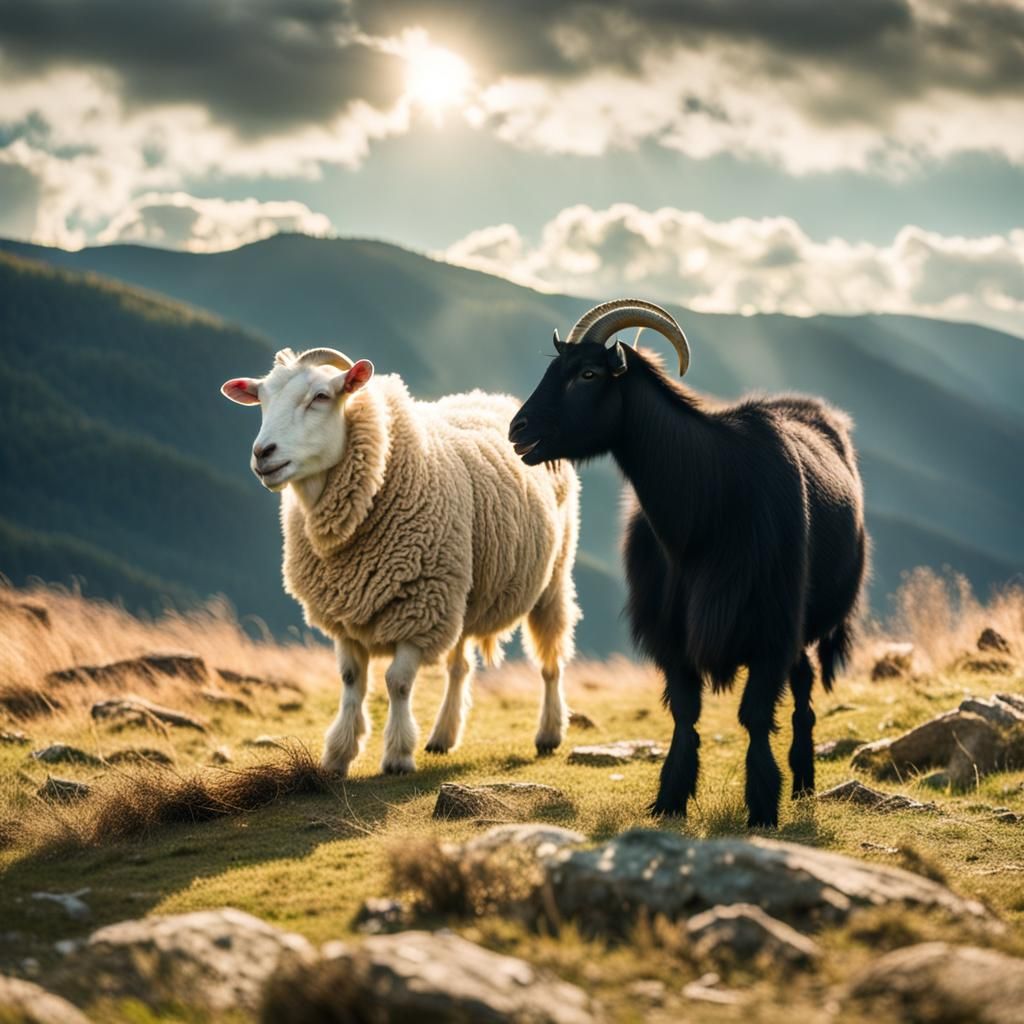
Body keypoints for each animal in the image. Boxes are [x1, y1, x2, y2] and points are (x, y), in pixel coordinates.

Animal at [221, 346, 579, 776]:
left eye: (321, 396)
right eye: (261, 398)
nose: (263, 454)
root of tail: (495, 397)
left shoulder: (418, 608)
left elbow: (398, 683)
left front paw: (397, 755)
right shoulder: (347, 612)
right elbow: (351, 681)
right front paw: (339, 754)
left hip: (551, 578)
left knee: (551, 659)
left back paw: (549, 732)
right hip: (463, 587)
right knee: (459, 666)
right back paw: (443, 736)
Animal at [509, 299, 868, 828]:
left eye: (588, 373)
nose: (518, 430)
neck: (708, 502)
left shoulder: (769, 628)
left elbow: (754, 716)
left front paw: (763, 806)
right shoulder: (670, 634)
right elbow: (684, 713)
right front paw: (670, 798)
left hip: (805, 619)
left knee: (802, 686)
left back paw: (803, 783)